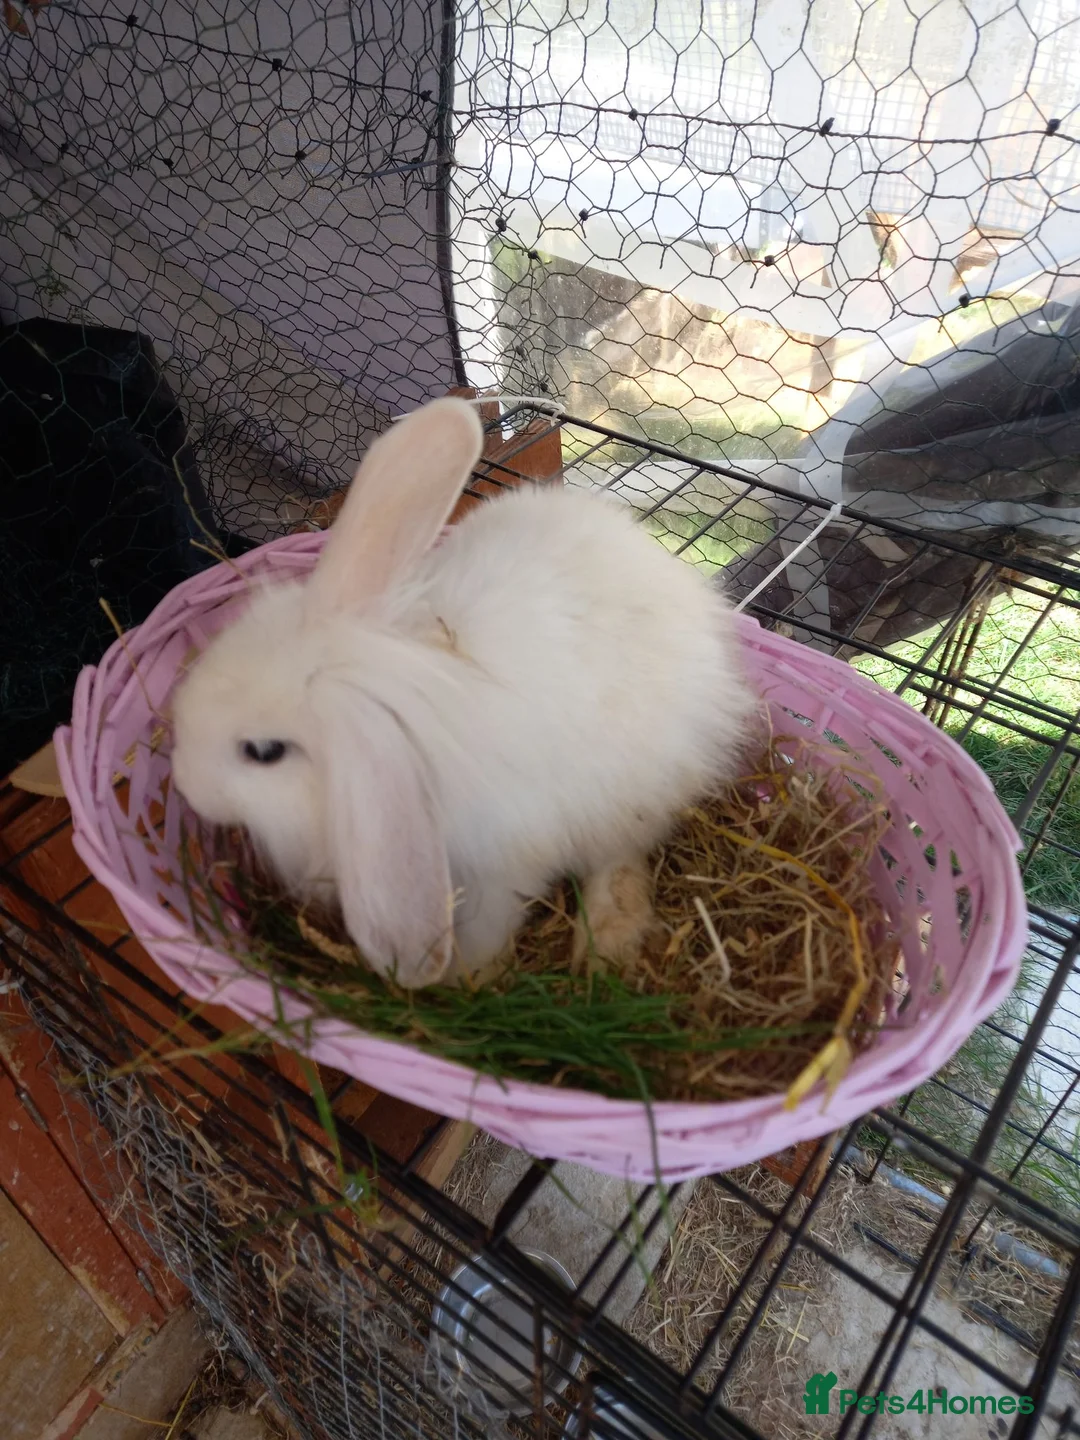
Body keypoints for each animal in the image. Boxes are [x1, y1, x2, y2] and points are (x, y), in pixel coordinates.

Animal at [169, 397, 755, 988]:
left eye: (263, 752)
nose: (185, 786)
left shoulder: (501, 866)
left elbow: (489, 923)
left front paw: (466, 976)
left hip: (634, 797)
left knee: (620, 857)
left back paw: (608, 940)